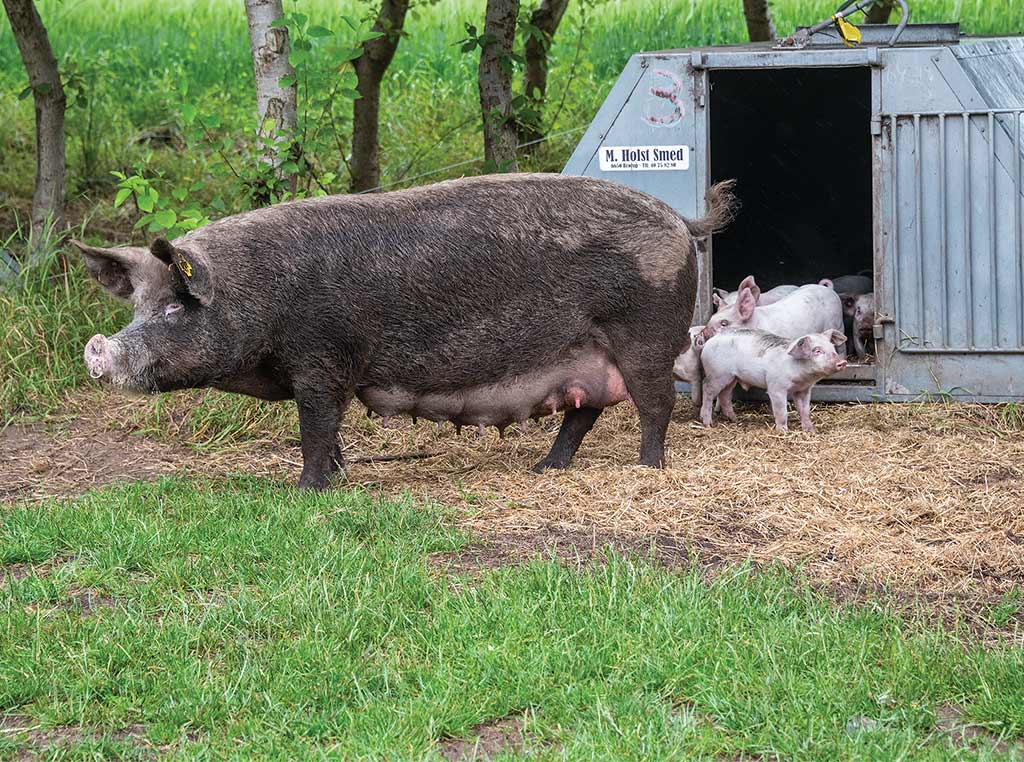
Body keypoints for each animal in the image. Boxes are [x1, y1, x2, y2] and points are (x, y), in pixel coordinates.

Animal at [77, 174, 737, 487]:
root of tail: (680, 219)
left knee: (654, 405)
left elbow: (315, 428)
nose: (98, 352)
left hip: (645, 336)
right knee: (584, 410)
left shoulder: (323, 360)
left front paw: (305, 492)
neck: (258, 295)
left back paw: (646, 469)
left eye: (174, 309)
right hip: (588, 357)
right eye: (136, 306)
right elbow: (330, 435)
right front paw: (337, 479)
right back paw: (546, 469)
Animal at [704, 327, 847, 432]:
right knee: (707, 390)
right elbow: (782, 411)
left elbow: (805, 410)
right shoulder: (776, 388)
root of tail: (714, 337)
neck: (801, 377)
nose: (843, 362)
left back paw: (735, 419)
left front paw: (810, 430)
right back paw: (708, 423)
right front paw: (783, 431)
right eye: (817, 351)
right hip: (717, 373)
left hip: (732, 377)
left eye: (833, 348)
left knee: (725, 395)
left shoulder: (804, 390)